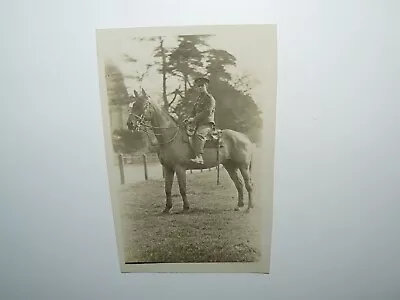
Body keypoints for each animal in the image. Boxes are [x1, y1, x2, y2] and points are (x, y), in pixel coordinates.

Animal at [126, 88, 255, 213]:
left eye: (144, 105)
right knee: (239, 184)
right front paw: (167, 208)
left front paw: (186, 207)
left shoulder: (180, 168)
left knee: (248, 185)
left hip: (243, 166)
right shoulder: (168, 169)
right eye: (134, 104)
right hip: (230, 166)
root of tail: (245, 137)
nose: (130, 124)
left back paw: (249, 207)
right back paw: (239, 206)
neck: (170, 138)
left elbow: (182, 188)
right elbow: (167, 189)